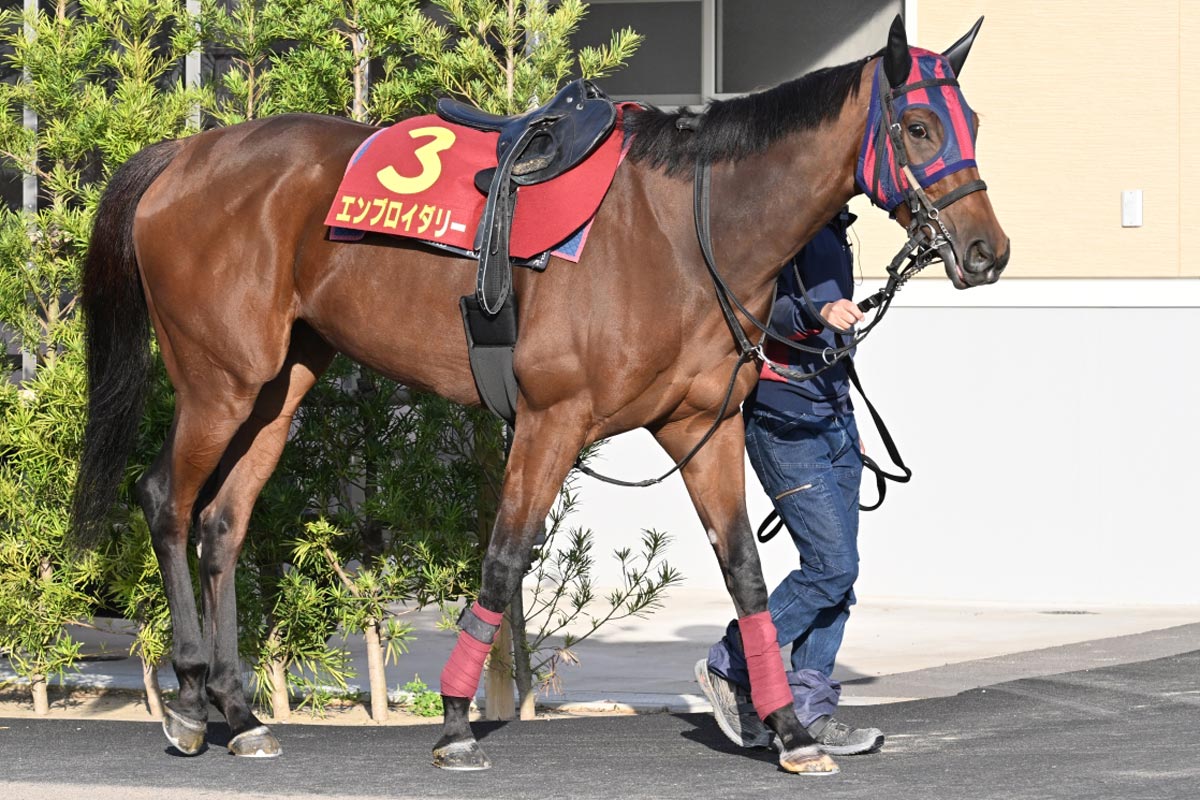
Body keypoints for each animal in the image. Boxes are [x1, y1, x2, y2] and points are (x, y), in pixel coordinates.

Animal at [71, 14, 1007, 774]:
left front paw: (788, 730)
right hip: (219, 381)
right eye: (917, 125)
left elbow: (745, 571)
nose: (987, 251)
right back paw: (192, 701)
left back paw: (239, 713)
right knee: (166, 501)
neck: (679, 231)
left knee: (224, 524)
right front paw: (455, 722)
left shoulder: (700, 426)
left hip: (281, 383)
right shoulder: (553, 421)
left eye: (972, 123)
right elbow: (504, 556)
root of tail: (185, 155)